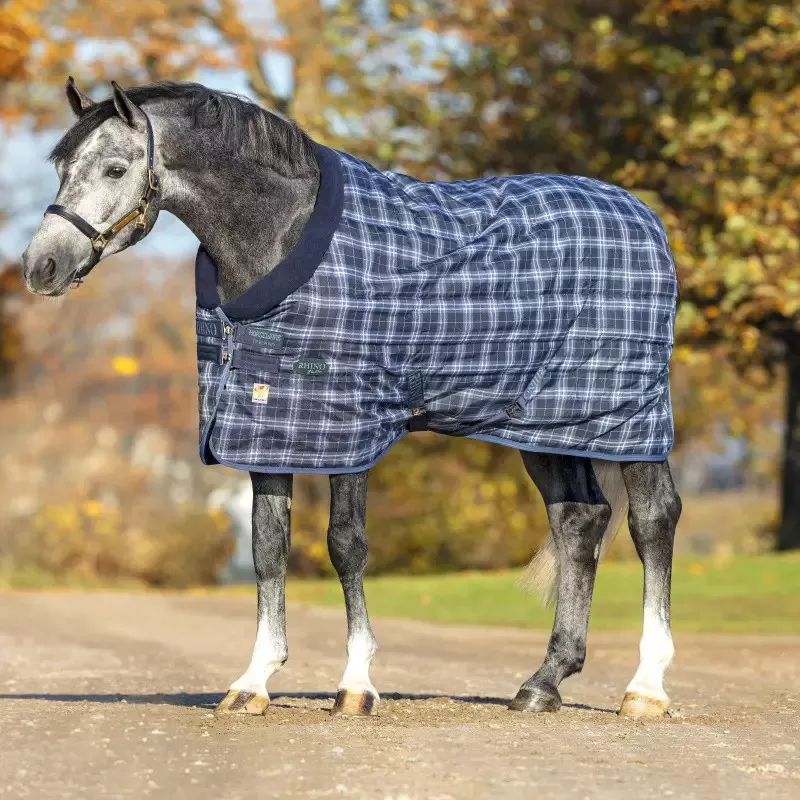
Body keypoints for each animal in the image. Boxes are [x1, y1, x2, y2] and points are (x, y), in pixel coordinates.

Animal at [21, 79, 681, 719]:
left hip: (631, 419)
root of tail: (643, 218)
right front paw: (253, 682)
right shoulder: (270, 428)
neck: (282, 237)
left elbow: (346, 546)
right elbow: (268, 548)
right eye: (62, 167)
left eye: (114, 169)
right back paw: (543, 683)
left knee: (652, 519)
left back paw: (645, 689)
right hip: (545, 423)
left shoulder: (348, 432)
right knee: (578, 521)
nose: (39, 266)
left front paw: (356, 684)